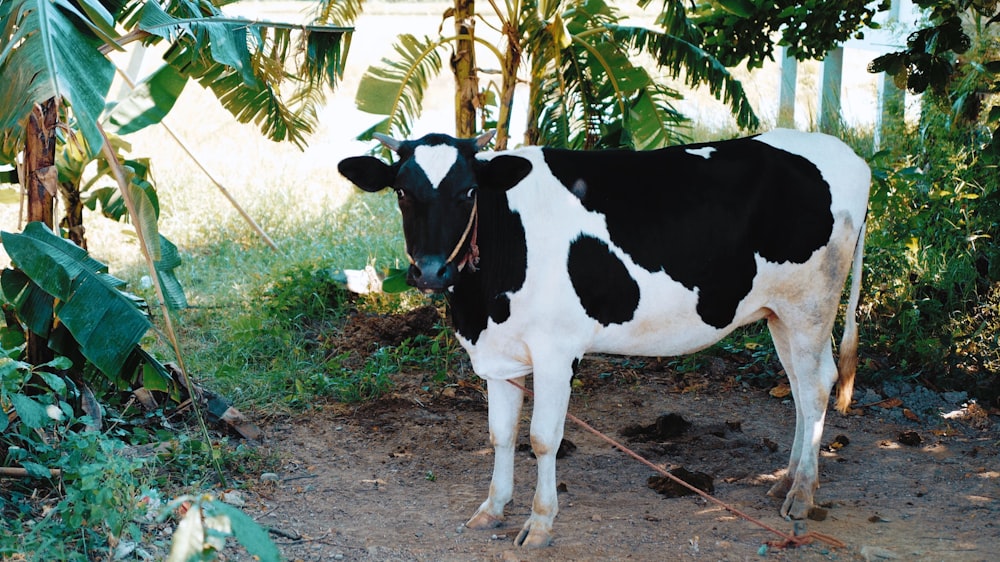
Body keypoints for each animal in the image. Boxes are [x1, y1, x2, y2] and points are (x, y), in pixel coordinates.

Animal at [338, 129, 868, 544]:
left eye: (468, 191)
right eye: (402, 192)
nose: (431, 271)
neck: (480, 306)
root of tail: (850, 157)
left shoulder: (556, 351)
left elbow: (543, 438)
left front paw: (540, 522)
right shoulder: (500, 353)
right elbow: (500, 434)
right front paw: (492, 509)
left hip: (810, 306)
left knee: (816, 385)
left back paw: (801, 494)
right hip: (779, 313)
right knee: (798, 387)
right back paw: (786, 480)